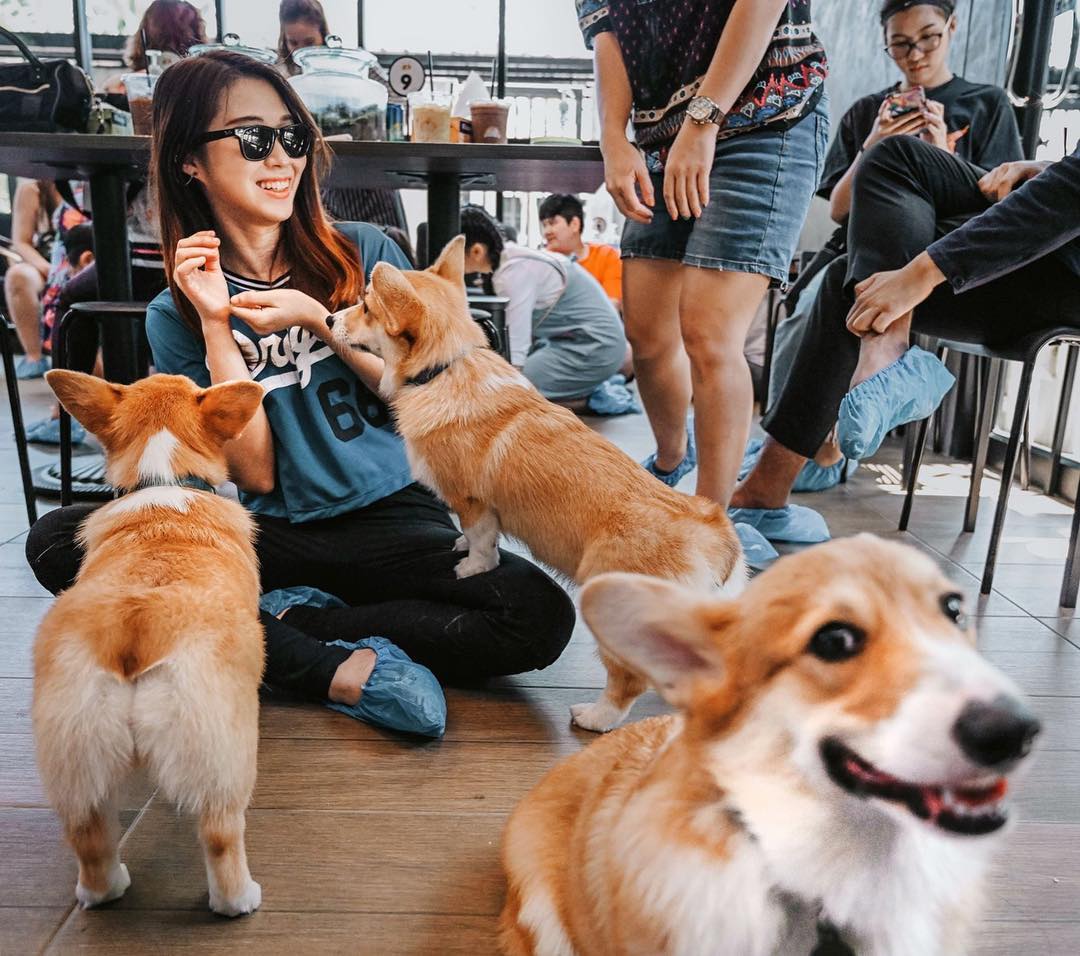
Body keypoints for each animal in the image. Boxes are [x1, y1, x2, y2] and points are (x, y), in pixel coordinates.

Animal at [34, 369, 270, 916]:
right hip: (224, 749)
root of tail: (134, 627)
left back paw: (103, 889)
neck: (163, 478)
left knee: (89, 836)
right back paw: (239, 900)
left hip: (74, 751)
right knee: (221, 834)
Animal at [328, 236, 747, 730]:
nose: (329, 319)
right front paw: (460, 547)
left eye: (366, 307)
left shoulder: (472, 499)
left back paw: (595, 717)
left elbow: (482, 541)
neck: (446, 367)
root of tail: (715, 536)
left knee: (628, 681)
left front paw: (471, 568)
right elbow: (471, 535)